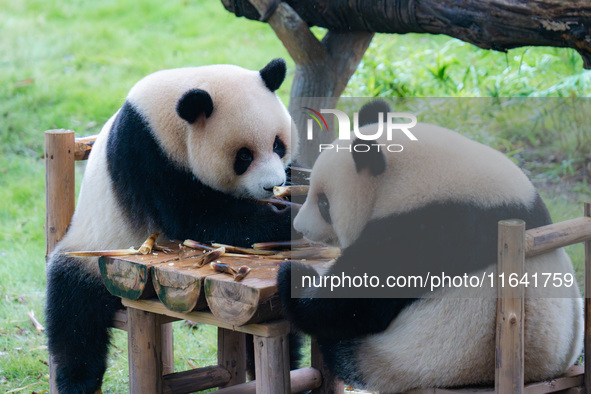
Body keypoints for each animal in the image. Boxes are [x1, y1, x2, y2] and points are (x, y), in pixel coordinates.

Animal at [45, 59, 300, 394]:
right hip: (91, 250)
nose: (273, 185)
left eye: (278, 145)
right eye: (243, 156)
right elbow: (198, 217)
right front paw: (287, 218)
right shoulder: (147, 155)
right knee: (74, 314)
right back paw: (77, 381)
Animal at [278, 101, 584, 390]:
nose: (300, 227)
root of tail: (544, 373)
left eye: (324, 204)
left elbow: (360, 295)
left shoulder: (432, 229)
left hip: (420, 359)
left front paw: (295, 277)